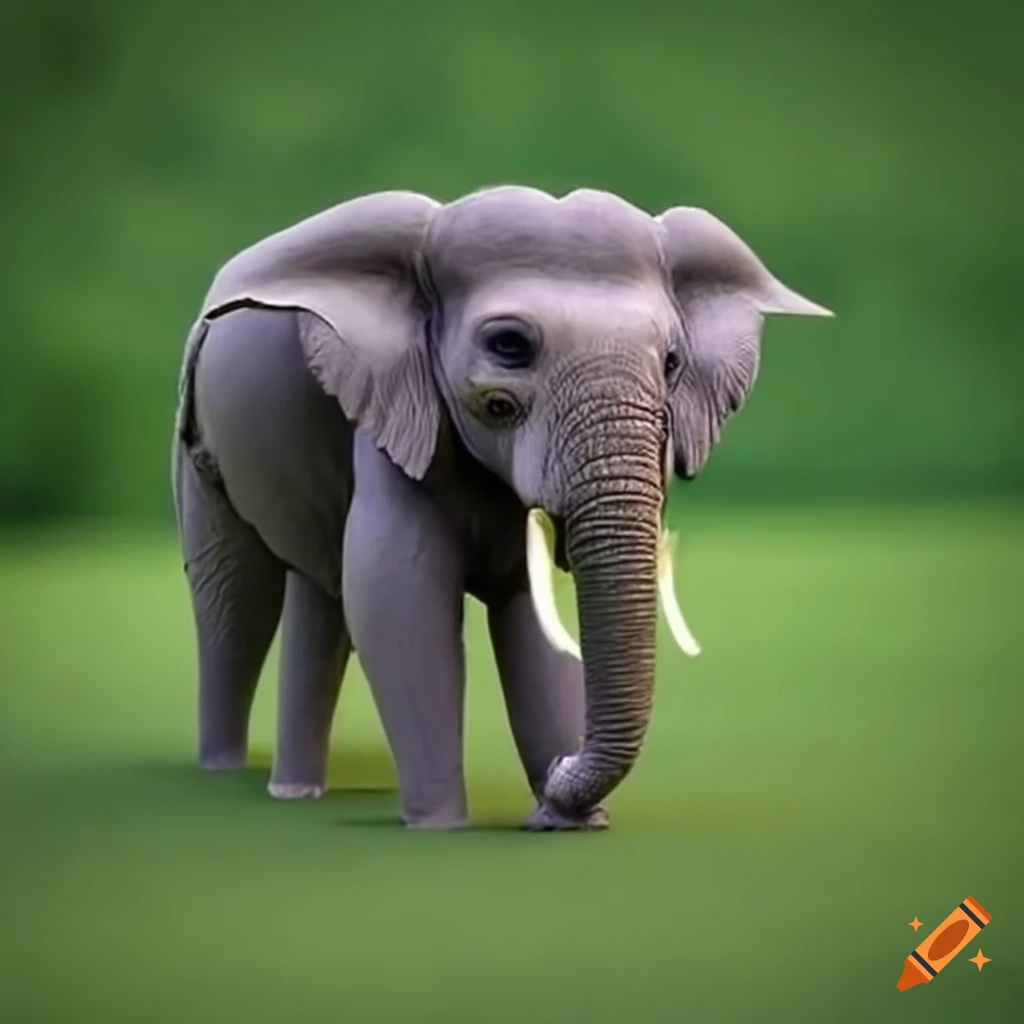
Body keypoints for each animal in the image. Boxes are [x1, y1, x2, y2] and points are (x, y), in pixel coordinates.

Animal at [171, 185, 832, 831]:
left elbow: (532, 615)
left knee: (320, 593)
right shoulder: (399, 412)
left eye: (671, 362)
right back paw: (229, 771)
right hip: (195, 424)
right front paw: (441, 828)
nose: (562, 776)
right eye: (510, 345)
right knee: (234, 597)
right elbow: (399, 599)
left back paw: (296, 790)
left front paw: (566, 822)